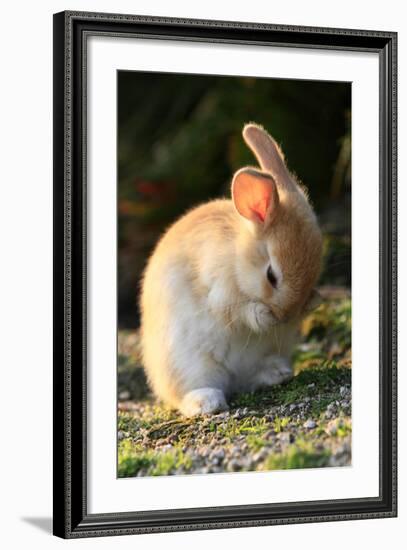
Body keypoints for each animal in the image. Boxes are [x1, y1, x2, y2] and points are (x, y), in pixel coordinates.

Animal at [139, 125, 324, 418]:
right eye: (271, 276)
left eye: (315, 273)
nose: (284, 317)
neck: (238, 255)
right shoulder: (219, 291)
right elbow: (239, 311)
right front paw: (264, 317)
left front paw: (315, 301)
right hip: (189, 364)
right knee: (189, 391)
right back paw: (206, 402)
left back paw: (277, 373)